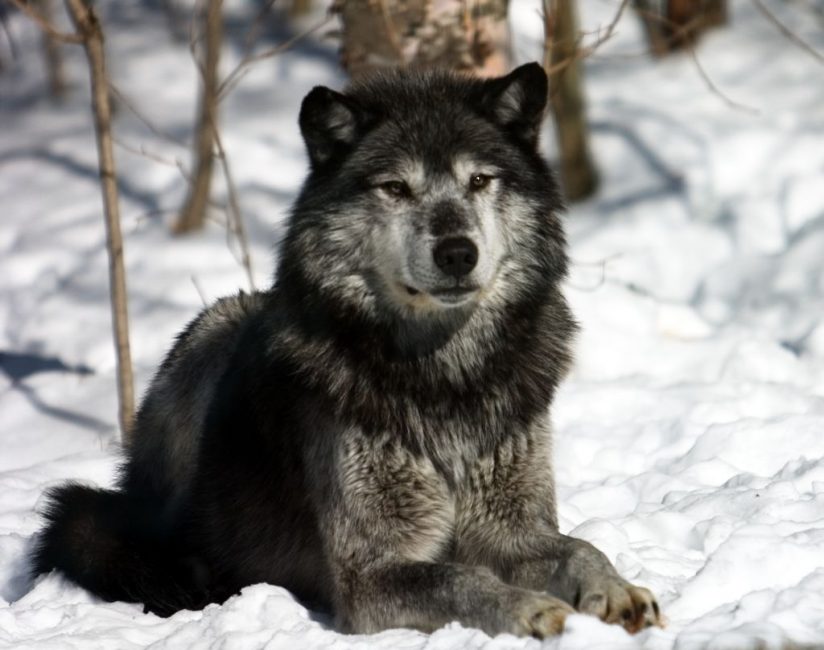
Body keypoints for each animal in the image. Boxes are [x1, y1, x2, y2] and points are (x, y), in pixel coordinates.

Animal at [30, 63, 664, 636]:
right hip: (214, 327)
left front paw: (617, 590)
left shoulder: (513, 531)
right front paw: (530, 609)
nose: (457, 252)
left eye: (480, 181)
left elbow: (581, 547)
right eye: (396, 188)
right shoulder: (370, 576)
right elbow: (462, 577)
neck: (445, 377)